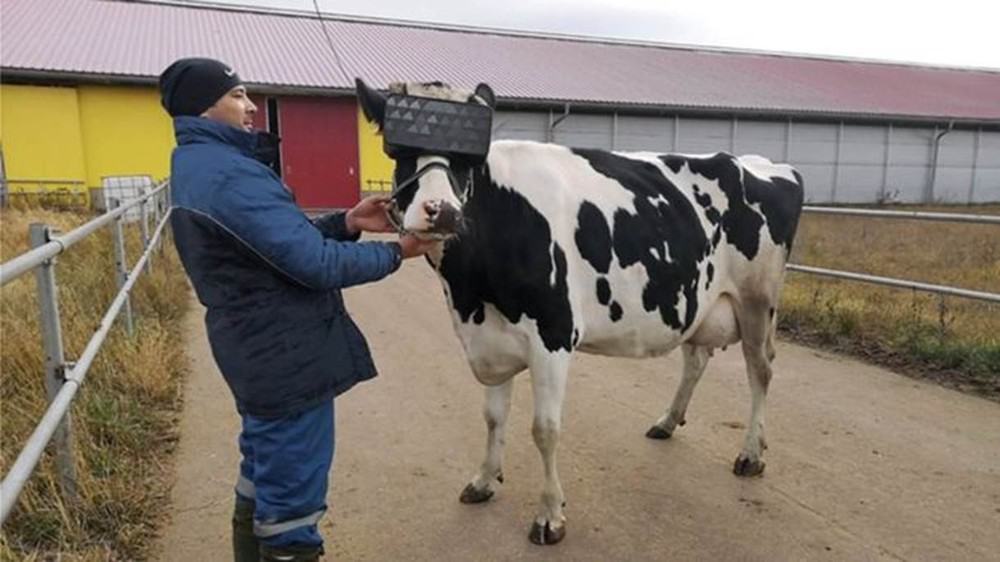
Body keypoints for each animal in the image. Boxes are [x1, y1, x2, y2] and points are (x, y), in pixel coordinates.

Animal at [355, 78, 805, 545]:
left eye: (468, 160)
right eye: (399, 153)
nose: (441, 211)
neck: (471, 293)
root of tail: (762, 163)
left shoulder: (553, 335)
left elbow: (545, 429)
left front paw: (550, 515)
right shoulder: (490, 338)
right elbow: (493, 417)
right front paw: (483, 481)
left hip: (758, 300)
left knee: (760, 370)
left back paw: (751, 454)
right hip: (698, 300)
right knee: (696, 358)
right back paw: (667, 421)